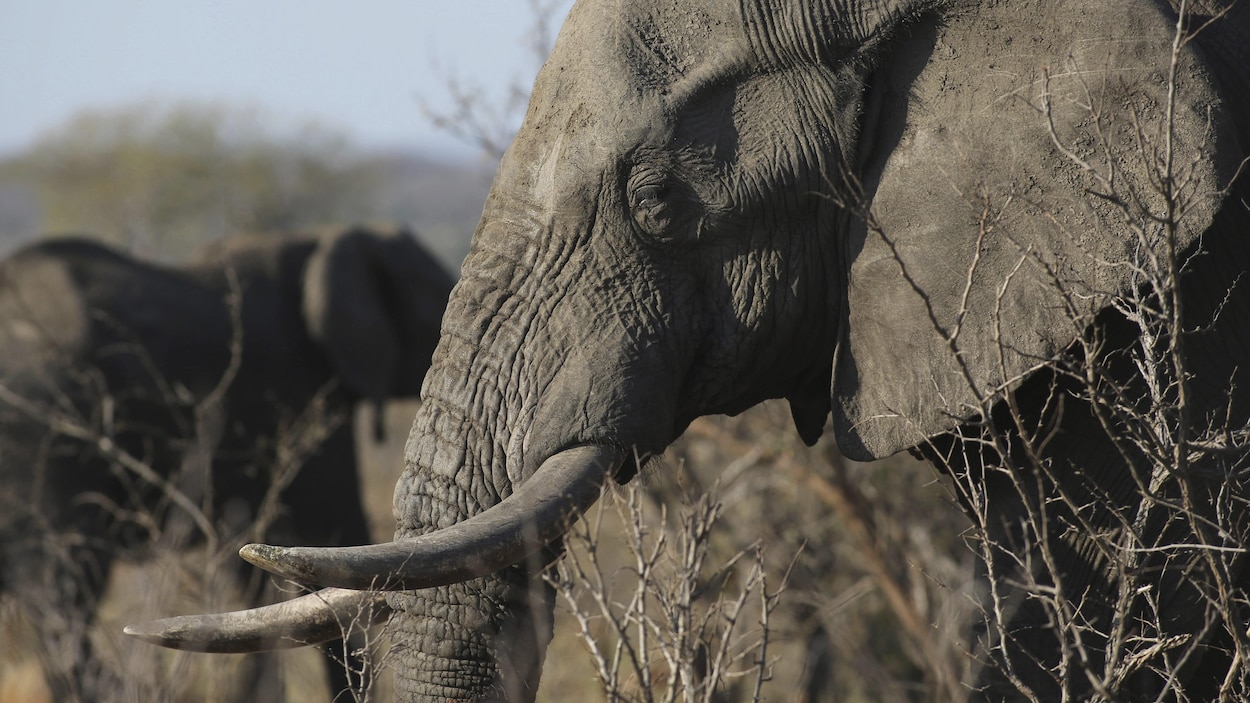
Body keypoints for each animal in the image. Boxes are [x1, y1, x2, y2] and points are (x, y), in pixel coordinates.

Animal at [0, 227, 455, 695]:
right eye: (436, 306)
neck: (319, 242)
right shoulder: (299, 392)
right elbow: (330, 530)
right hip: (41, 430)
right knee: (61, 597)